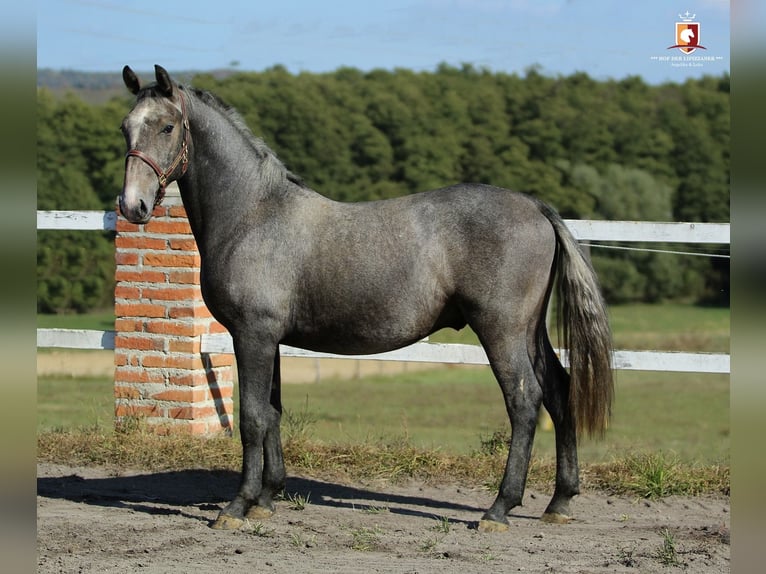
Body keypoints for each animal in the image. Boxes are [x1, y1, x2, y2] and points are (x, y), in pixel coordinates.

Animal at [119, 65, 614, 533]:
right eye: (126, 127)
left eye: (167, 127)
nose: (132, 206)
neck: (254, 215)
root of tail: (535, 206)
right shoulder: (269, 339)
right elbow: (274, 412)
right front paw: (267, 498)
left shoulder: (251, 335)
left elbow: (253, 418)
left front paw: (237, 506)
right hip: (529, 331)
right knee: (559, 391)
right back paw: (559, 502)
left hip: (502, 331)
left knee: (524, 402)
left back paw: (499, 508)